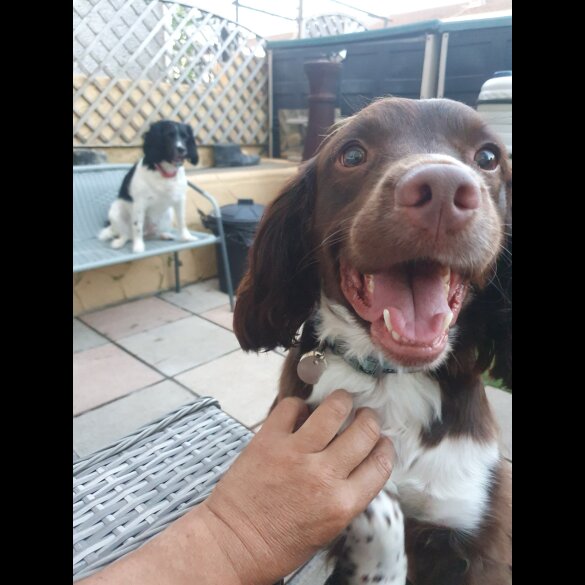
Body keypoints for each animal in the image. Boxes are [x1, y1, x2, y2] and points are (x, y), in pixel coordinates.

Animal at [99, 120, 200, 252]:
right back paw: (120, 242)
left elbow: (182, 220)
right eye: (169, 135)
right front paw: (138, 247)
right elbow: (137, 225)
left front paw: (186, 237)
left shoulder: (180, 199)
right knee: (127, 234)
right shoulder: (139, 203)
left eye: (185, 137)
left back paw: (165, 234)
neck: (165, 173)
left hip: (168, 213)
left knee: (157, 232)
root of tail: (147, 233)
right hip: (115, 211)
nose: (182, 149)